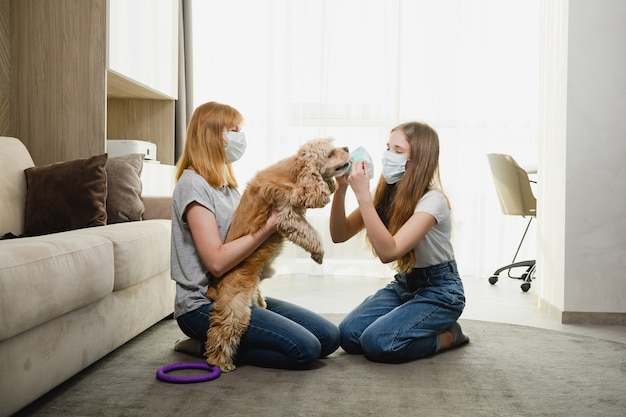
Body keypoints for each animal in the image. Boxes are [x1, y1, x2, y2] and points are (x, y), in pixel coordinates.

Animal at [206, 137, 348, 370]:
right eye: (330, 153)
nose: (347, 148)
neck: (294, 174)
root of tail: (214, 285)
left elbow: (311, 229)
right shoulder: (286, 215)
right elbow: (311, 233)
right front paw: (318, 254)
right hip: (235, 305)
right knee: (221, 331)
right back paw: (221, 362)